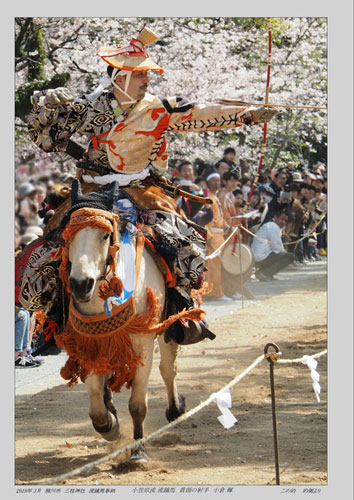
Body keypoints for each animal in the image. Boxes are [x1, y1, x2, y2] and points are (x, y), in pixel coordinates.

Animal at [58, 181, 189, 460]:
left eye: (105, 235)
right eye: (69, 234)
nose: (80, 284)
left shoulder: (143, 344)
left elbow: (138, 405)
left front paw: (138, 451)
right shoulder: (90, 345)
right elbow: (97, 408)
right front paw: (110, 426)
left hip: (168, 325)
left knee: (168, 369)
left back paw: (175, 409)